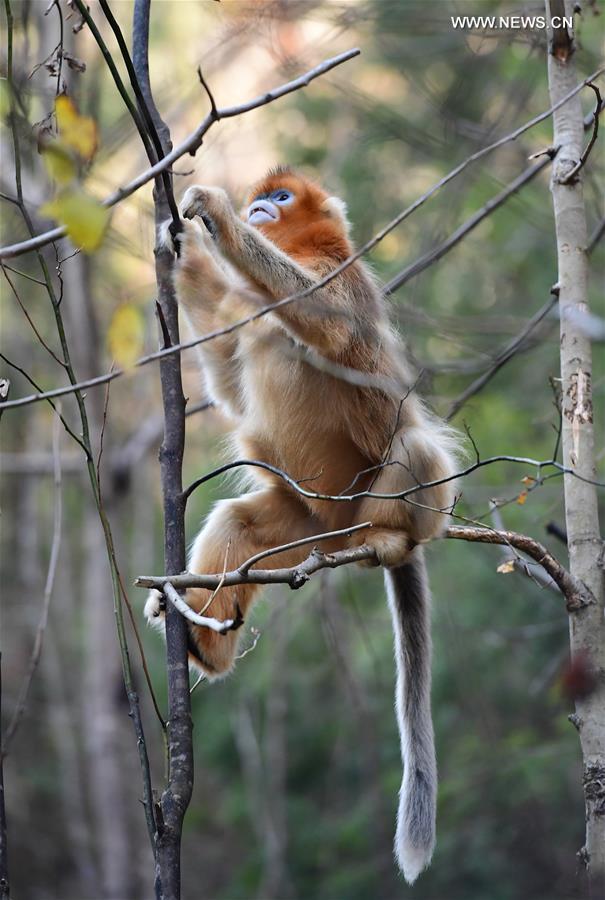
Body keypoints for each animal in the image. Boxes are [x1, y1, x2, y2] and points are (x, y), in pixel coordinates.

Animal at [144, 167, 460, 883]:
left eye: (281, 197)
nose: (260, 207)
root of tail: (342, 531)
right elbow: (233, 392)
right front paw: (182, 252)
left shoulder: (340, 274)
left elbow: (323, 321)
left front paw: (217, 217)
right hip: (305, 522)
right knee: (239, 521)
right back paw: (202, 638)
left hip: (381, 498)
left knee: (413, 446)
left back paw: (390, 539)